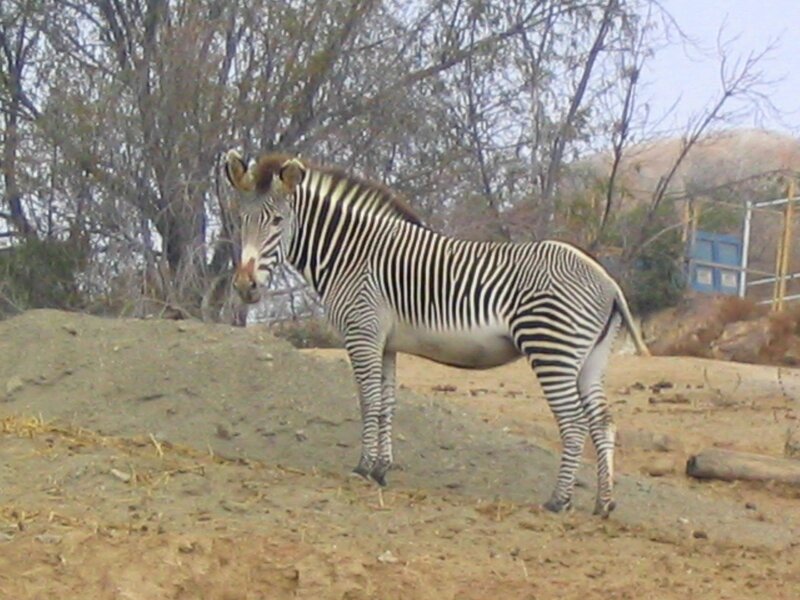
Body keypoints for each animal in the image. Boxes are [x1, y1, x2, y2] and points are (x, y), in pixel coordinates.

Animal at [224, 150, 649, 517]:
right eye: (241, 220)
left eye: (277, 222)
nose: (245, 287)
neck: (350, 251)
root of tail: (607, 280)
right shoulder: (385, 342)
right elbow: (386, 404)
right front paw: (381, 469)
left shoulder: (362, 332)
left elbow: (367, 401)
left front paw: (362, 468)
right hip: (590, 358)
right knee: (603, 421)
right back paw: (604, 503)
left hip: (552, 350)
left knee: (574, 423)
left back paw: (558, 501)